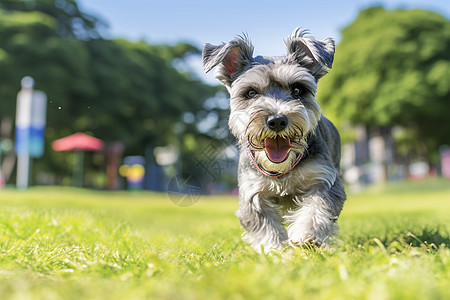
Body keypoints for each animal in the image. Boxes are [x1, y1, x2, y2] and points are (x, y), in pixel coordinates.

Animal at [202, 27, 346, 253]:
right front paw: (275, 251)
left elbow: (317, 207)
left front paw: (306, 236)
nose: (277, 120)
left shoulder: (324, 180)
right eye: (251, 92)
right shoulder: (252, 195)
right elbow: (265, 227)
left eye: (297, 90)